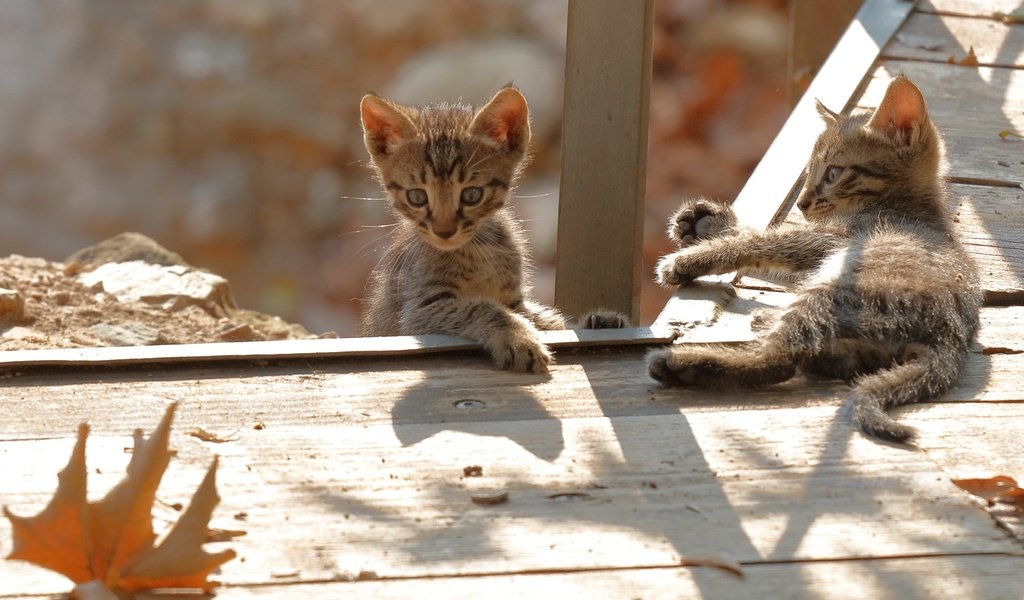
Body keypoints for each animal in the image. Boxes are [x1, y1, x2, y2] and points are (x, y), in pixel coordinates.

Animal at [358, 86, 622, 370]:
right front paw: (520, 340)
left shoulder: (515, 299)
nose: (444, 232)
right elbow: (482, 308)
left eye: (472, 195)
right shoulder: (418, 310)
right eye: (417, 197)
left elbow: (548, 320)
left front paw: (592, 322)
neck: (478, 250)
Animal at [651, 74, 978, 442]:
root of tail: (950, 337)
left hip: (831, 291)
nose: (802, 203)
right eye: (808, 172)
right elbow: (757, 239)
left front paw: (687, 259)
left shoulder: (825, 240)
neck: (913, 206)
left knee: (777, 360)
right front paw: (705, 222)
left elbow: (757, 242)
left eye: (833, 173)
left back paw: (680, 364)